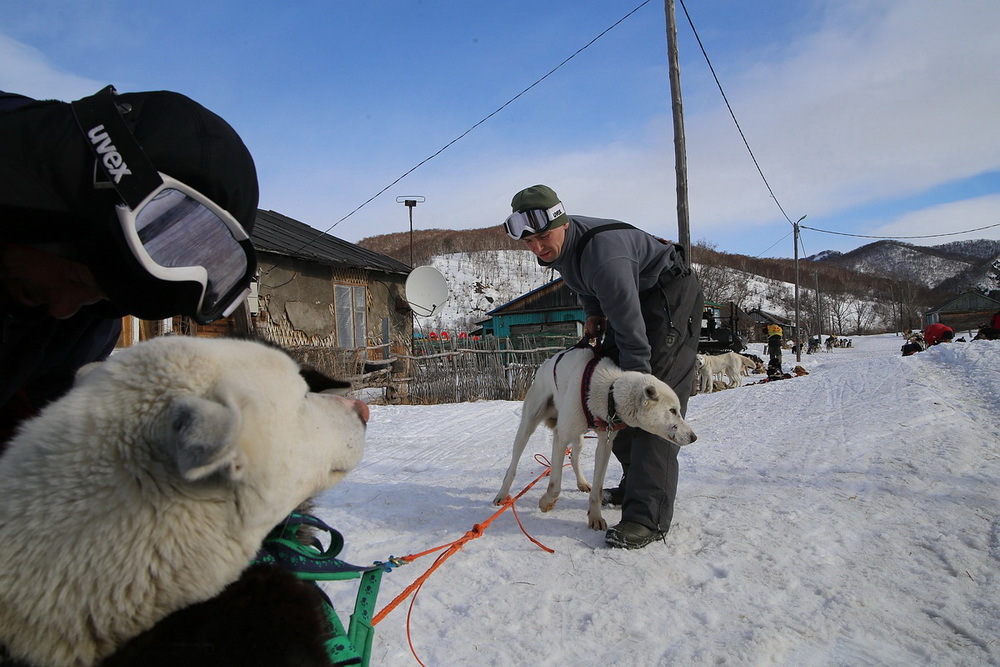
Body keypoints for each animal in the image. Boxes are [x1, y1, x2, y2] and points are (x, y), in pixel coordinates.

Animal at [492, 344, 696, 532]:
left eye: (678, 410)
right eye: (672, 410)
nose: (693, 437)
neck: (608, 392)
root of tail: (546, 363)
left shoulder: (605, 445)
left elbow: (597, 490)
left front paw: (595, 517)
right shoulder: (561, 436)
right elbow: (555, 484)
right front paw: (546, 502)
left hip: (579, 437)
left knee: (574, 458)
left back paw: (582, 482)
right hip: (528, 426)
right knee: (513, 465)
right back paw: (502, 494)